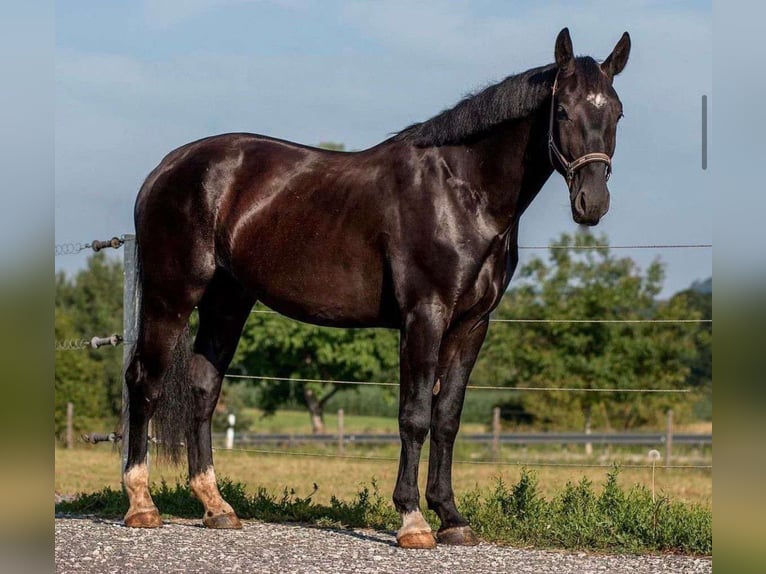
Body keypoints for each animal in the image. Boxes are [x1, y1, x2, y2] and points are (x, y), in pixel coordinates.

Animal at [124, 29, 632, 552]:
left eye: (616, 113)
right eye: (564, 111)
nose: (592, 203)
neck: (461, 191)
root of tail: (166, 168)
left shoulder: (472, 325)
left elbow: (447, 418)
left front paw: (452, 517)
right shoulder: (424, 315)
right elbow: (415, 416)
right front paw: (413, 520)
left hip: (227, 301)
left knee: (204, 389)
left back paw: (217, 507)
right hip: (171, 296)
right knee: (144, 383)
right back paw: (142, 505)